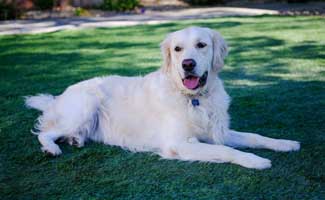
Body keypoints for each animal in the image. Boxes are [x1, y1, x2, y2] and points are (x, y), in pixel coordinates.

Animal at [25, 26, 298, 169]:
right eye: (177, 49)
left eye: (201, 45)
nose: (187, 64)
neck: (194, 98)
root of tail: (58, 97)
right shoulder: (179, 143)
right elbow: (225, 151)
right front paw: (255, 160)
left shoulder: (218, 131)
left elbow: (254, 136)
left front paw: (285, 143)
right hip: (85, 105)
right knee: (45, 132)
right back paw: (52, 148)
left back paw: (76, 140)